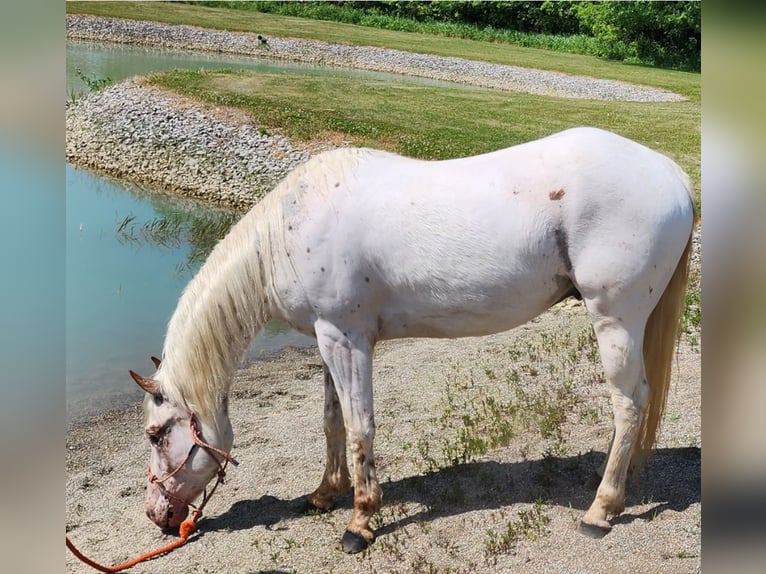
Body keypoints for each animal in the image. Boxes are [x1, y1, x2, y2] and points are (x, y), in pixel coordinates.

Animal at [130, 127, 696, 552]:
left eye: (156, 435)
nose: (157, 515)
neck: (291, 229)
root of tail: (672, 176)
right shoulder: (328, 340)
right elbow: (333, 421)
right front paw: (325, 493)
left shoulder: (347, 340)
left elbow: (360, 428)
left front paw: (360, 522)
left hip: (616, 321)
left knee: (630, 404)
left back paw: (601, 509)